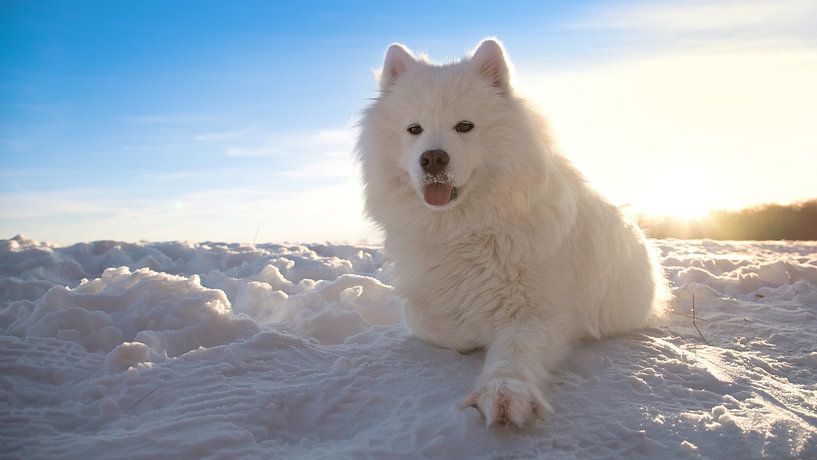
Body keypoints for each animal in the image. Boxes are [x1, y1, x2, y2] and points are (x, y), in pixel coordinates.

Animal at [354, 38, 668, 428]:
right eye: (414, 129)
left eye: (465, 126)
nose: (432, 159)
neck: (465, 230)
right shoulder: (426, 297)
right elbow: (422, 317)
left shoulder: (537, 313)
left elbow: (513, 354)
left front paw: (504, 393)